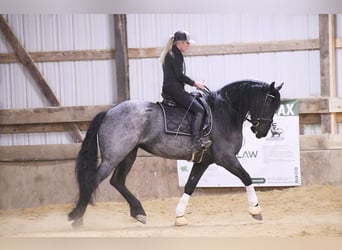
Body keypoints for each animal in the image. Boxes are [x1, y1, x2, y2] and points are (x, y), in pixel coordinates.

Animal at [67, 79, 284, 227]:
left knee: (117, 181)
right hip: (114, 156)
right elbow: (247, 177)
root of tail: (108, 112)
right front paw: (255, 210)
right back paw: (77, 217)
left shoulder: (203, 161)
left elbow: (190, 185)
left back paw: (138, 212)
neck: (224, 113)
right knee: (93, 180)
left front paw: (179, 216)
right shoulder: (226, 158)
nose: (262, 131)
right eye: (269, 103)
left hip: (129, 154)